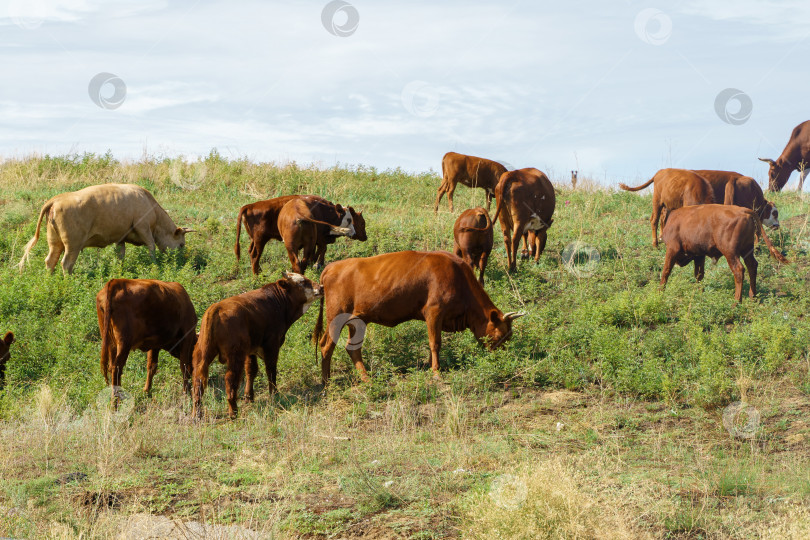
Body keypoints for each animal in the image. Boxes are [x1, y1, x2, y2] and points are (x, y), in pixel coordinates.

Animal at [18, 185, 192, 274]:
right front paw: (155, 265)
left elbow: (121, 254)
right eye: (181, 244)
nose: (180, 261)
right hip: (73, 244)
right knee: (66, 264)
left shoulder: (121, 237)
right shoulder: (143, 228)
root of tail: (56, 199)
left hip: (55, 242)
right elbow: (151, 247)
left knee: (50, 261)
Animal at [192, 272, 322, 420]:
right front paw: (274, 393)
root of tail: (216, 308)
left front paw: (249, 396)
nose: (321, 287)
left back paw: (197, 414)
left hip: (202, 354)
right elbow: (270, 369)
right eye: (302, 282)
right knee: (230, 379)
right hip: (235, 356)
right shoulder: (272, 344)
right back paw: (233, 411)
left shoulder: (251, 350)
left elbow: (251, 370)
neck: (277, 302)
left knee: (198, 381)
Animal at [310, 251, 524, 386]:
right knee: (326, 345)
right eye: (500, 335)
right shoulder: (434, 312)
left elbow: (433, 344)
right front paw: (436, 372)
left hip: (357, 321)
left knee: (353, 348)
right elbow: (435, 343)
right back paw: (327, 383)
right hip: (337, 317)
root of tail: (331, 267)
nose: (502, 360)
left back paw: (365, 378)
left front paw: (429, 366)